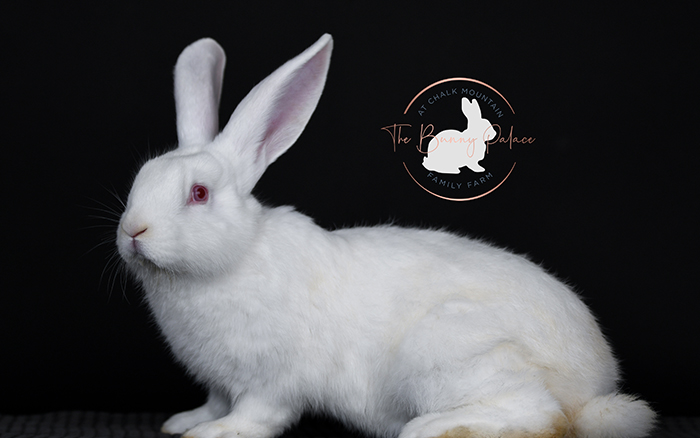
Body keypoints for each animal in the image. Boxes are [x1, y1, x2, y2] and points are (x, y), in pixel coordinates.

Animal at [116, 34, 655, 438]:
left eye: (199, 194)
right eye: (140, 179)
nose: (132, 231)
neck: (234, 260)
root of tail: (592, 387)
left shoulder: (270, 380)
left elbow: (256, 415)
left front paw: (215, 432)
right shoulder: (220, 383)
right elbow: (213, 402)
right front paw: (186, 421)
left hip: (449, 354)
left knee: (542, 415)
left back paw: (432, 428)